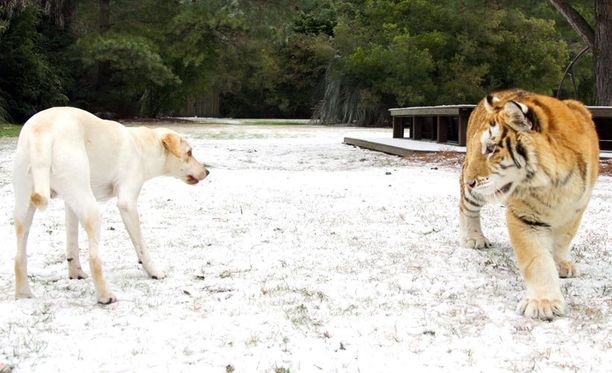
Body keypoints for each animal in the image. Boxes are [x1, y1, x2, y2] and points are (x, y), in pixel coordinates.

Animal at [11, 106, 208, 304]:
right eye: (189, 153)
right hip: (92, 211)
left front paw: (75, 273)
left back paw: (23, 294)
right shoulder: (127, 203)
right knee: (94, 258)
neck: (141, 146)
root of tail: (42, 131)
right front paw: (154, 272)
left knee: (19, 257)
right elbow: (141, 246)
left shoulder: (70, 205)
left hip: (25, 208)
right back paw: (105, 296)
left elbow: (72, 243)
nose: (207, 171)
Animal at [460, 88, 596, 318]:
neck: (556, 185)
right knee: (466, 208)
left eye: (491, 148)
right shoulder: (526, 219)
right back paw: (475, 238)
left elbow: (562, 241)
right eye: (483, 147)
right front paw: (543, 303)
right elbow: (537, 260)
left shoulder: (575, 211)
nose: (470, 182)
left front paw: (561, 264)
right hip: (473, 193)